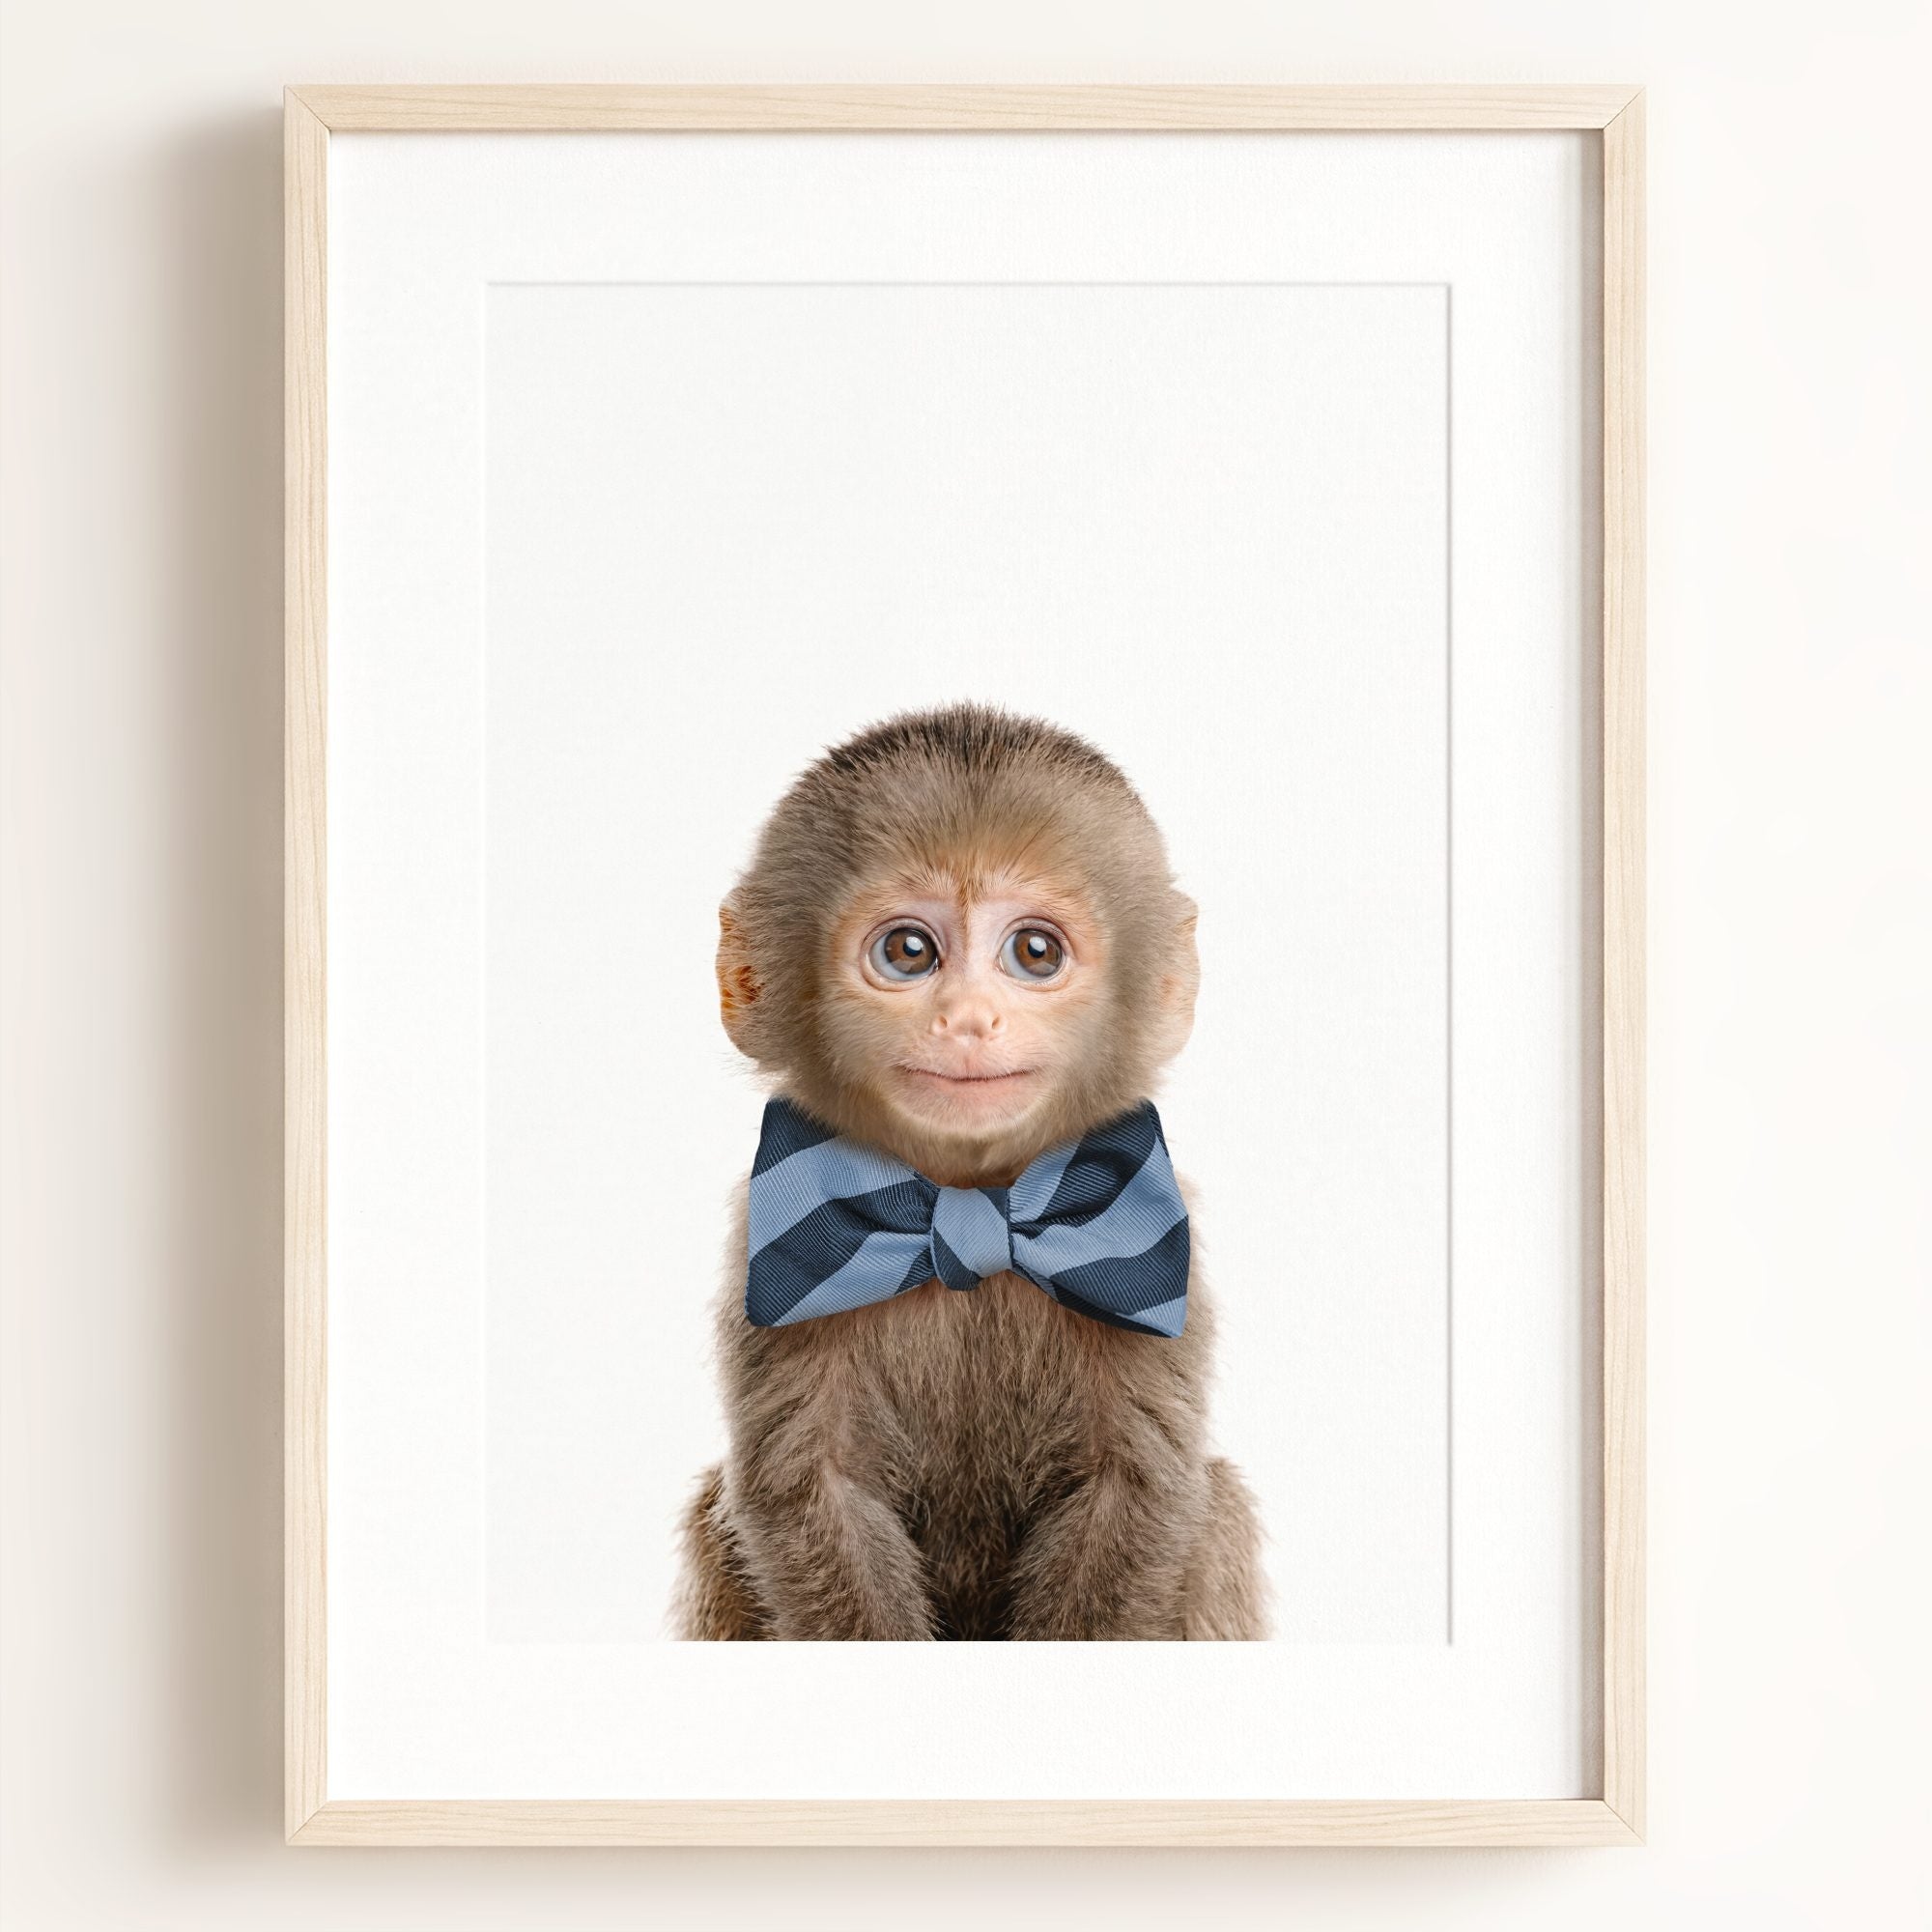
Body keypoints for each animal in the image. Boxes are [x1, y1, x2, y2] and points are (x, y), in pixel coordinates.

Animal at [673, 703, 1267, 1641]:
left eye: (1035, 952)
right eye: (910, 952)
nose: (968, 1019)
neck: (967, 1198)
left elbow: (1137, 1490)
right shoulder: (765, 1249)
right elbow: (812, 1491)